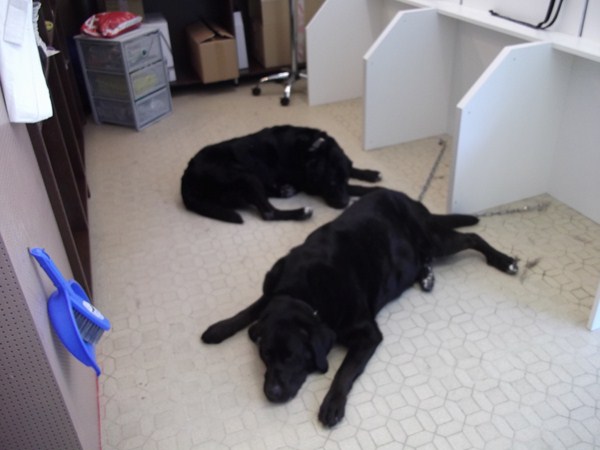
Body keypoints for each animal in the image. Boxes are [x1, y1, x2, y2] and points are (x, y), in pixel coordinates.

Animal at [181, 125, 381, 223]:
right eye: (331, 182)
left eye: (343, 178)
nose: (344, 204)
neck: (313, 149)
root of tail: (186, 176)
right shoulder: (311, 185)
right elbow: (355, 187)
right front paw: (375, 190)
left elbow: (353, 170)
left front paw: (370, 174)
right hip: (245, 176)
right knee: (269, 213)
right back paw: (301, 212)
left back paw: (285, 191)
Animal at [201, 188, 518, 427]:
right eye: (265, 355)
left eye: (292, 357)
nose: (272, 394)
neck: (305, 294)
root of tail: (406, 197)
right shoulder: (273, 292)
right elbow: (250, 309)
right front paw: (219, 328)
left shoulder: (368, 335)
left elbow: (343, 372)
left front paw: (332, 404)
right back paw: (426, 275)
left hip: (434, 239)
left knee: (472, 238)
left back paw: (504, 261)